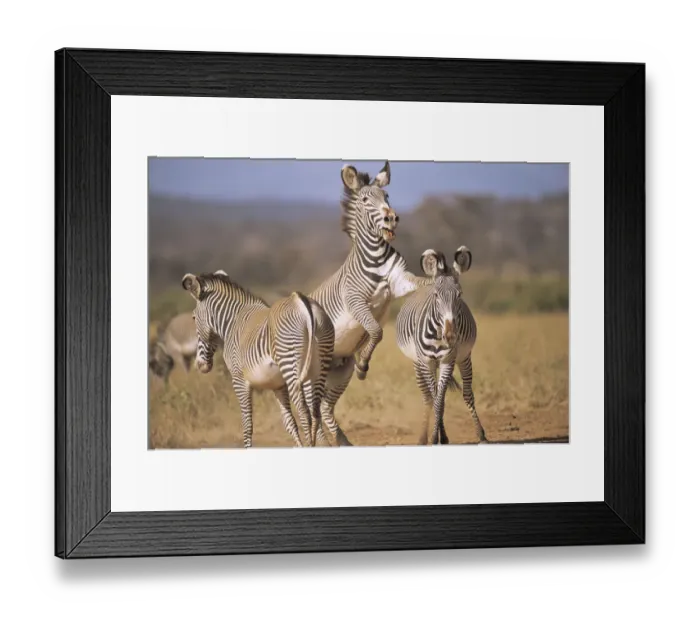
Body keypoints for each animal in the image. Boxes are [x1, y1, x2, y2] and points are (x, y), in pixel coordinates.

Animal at [181, 269, 338, 449]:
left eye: (193, 318)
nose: (200, 365)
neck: (232, 322)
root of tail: (301, 300)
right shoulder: (278, 385)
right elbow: (289, 422)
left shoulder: (239, 380)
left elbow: (247, 424)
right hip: (319, 363)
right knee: (315, 411)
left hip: (291, 364)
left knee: (305, 412)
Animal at [308, 160, 434, 446]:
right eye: (366, 200)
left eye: (386, 196)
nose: (392, 218)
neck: (376, 257)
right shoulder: (354, 300)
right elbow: (376, 331)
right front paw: (364, 364)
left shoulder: (400, 280)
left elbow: (422, 283)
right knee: (311, 407)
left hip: (339, 370)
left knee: (324, 408)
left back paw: (342, 443)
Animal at [395, 246, 488, 445]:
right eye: (436, 295)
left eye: (459, 295)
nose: (450, 335)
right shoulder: (426, 361)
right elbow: (435, 399)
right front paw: (432, 437)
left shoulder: (448, 360)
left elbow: (441, 400)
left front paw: (438, 437)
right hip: (418, 363)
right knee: (428, 397)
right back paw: (423, 437)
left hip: (464, 358)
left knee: (465, 394)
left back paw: (479, 434)